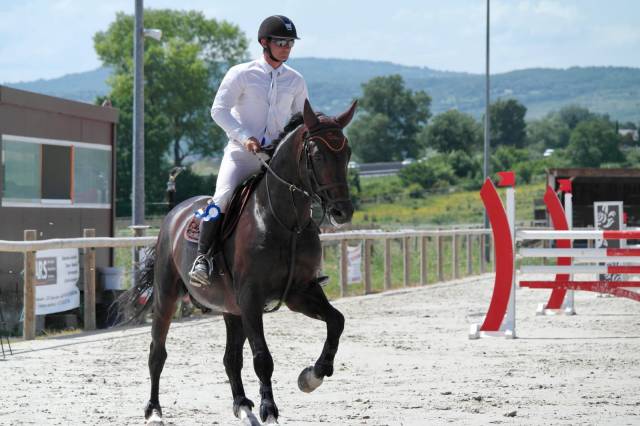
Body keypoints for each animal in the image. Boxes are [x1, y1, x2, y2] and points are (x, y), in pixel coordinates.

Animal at [118, 99, 357, 425]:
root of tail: (174, 212)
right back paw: (154, 410)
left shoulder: (300, 292)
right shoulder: (251, 297)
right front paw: (270, 410)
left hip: (232, 308)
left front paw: (312, 376)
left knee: (230, 358)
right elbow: (262, 358)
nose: (342, 211)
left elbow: (337, 321)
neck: (285, 221)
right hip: (167, 296)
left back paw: (242, 405)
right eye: (318, 155)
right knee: (158, 351)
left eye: (347, 153)